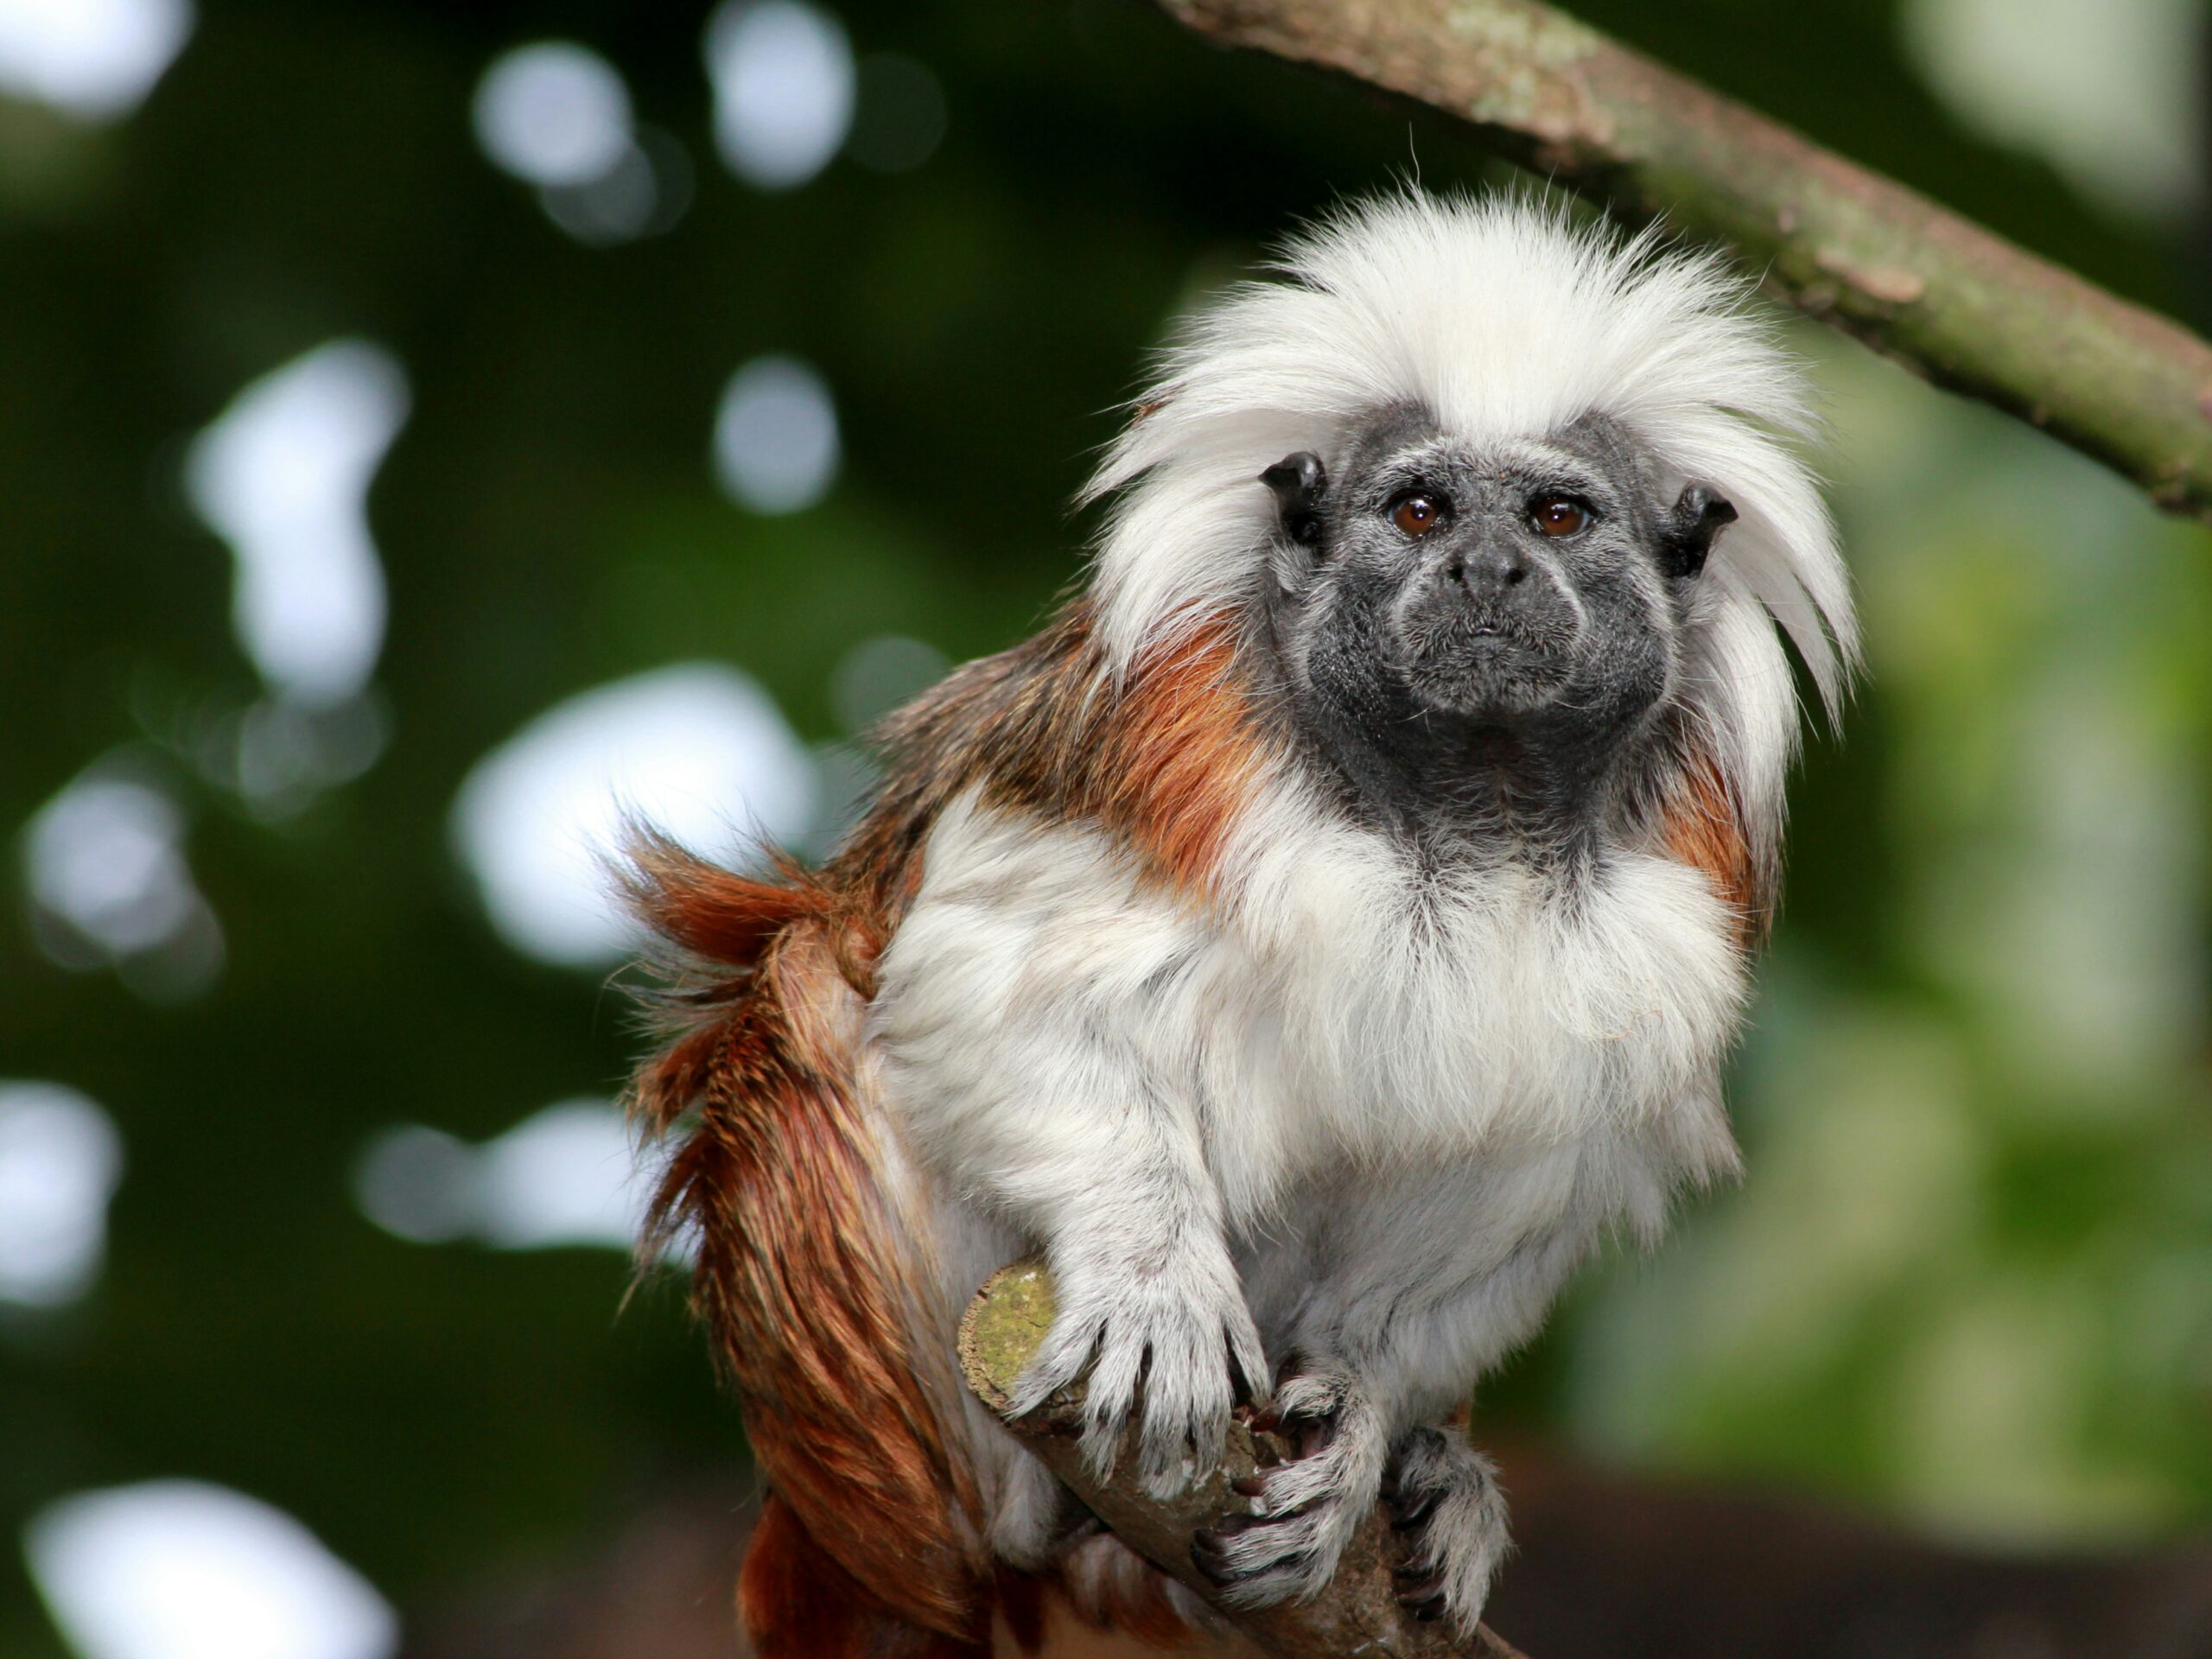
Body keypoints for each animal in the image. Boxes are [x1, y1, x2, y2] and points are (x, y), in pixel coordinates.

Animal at [625, 190, 1856, 1656]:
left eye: (1560, 517)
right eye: (1420, 508)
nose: (1488, 568)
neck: (1464, 809)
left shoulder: (1682, 889)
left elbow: (1511, 1168)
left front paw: (1371, 1414)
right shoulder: (1167, 737)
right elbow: (1000, 980)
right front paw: (1153, 1276)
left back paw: (1434, 1481)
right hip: (868, 1426)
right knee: (815, 984)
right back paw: (1027, 1509)